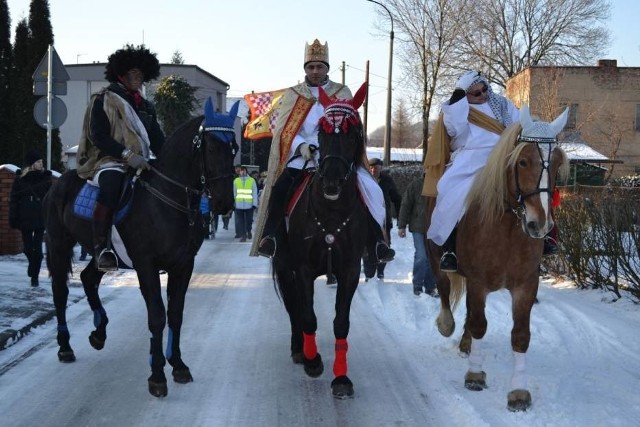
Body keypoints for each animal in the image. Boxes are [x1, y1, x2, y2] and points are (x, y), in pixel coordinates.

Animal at [43, 99, 238, 398]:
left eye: (234, 147)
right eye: (212, 147)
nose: (225, 203)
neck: (168, 199)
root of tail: (59, 180)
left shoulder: (183, 265)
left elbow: (176, 314)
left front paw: (178, 364)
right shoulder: (146, 265)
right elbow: (157, 315)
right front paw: (157, 375)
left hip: (102, 254)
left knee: (88, 278)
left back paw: (99, 332)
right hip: (58, 243)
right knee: (60, 292)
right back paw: (65, 346)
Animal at [424, 105, 568, 412]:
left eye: (557, 162)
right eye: (523, 162)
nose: (540, 224)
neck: (509, 226)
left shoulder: (526, 285)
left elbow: (520, 335)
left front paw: (518, 392)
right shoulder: (478, 282)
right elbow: (479, 324)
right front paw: (475, 375)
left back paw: (466, 343)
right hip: (435, 256)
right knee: (445, 290)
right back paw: (447, 326)